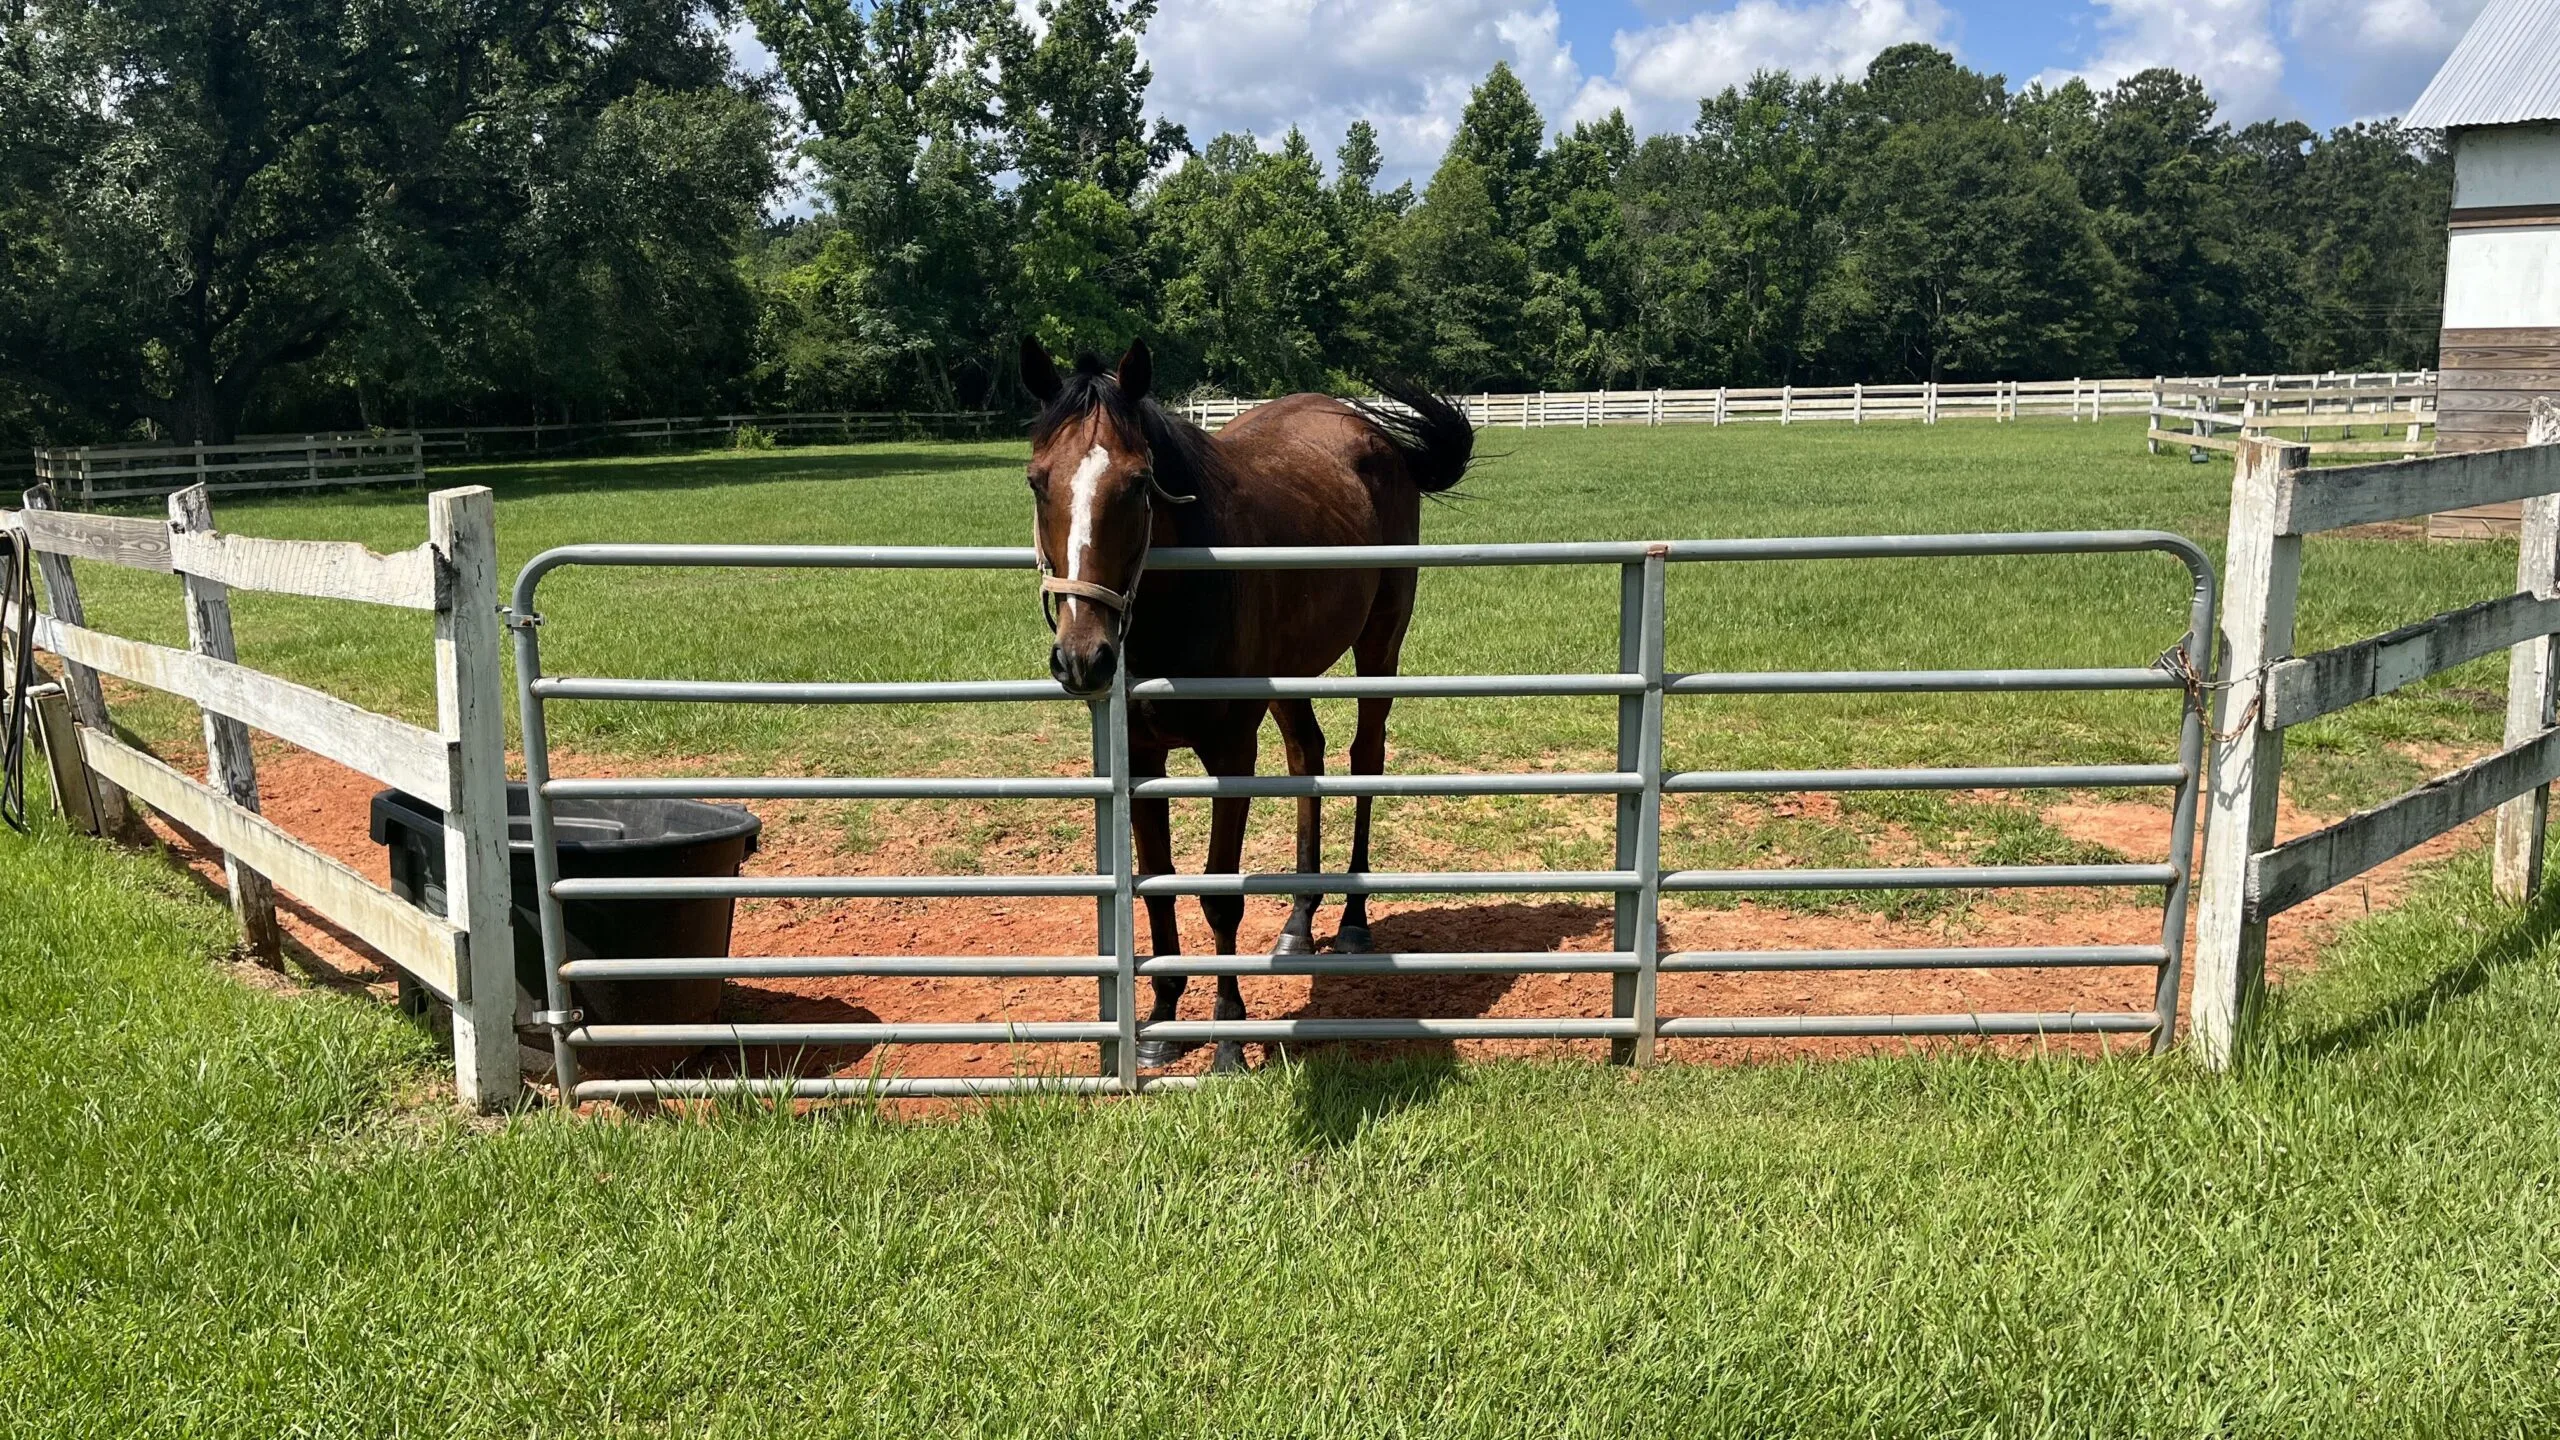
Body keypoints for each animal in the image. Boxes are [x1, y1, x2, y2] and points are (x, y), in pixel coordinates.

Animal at [1020, 336, 1474, 1073]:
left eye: (1138, 483)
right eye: (1038, 480)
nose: (1083, 656)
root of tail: (1372, 434)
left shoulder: (1230, 751)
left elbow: (1218, 895)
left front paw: (1229, 1036)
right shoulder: (1143, 757)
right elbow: (1159, 882)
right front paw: (1162, 1023)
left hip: (1382, 640)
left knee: (1366, 757)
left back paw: (1352, 921)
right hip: (1289, 676)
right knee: (1308, 754)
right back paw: (1297, 922)